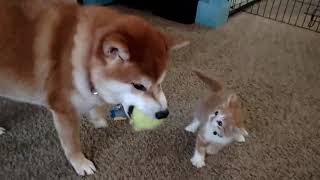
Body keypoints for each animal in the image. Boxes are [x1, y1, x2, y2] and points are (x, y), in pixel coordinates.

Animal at [0, 0, 189, 176]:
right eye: (138, 86)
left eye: (161, 82)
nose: (164, 113)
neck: (79, 57)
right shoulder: (63, 111)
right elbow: (72, 144)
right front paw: (81, 163)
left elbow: (95, 105)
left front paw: (97, 118)